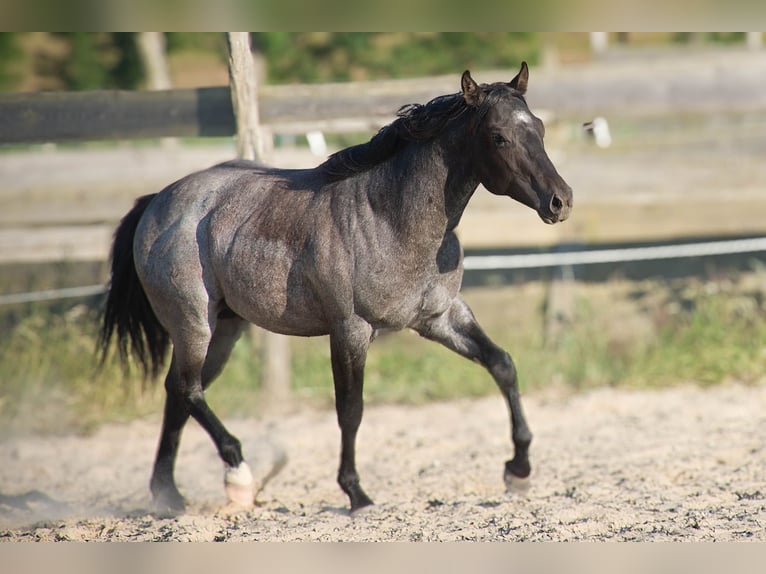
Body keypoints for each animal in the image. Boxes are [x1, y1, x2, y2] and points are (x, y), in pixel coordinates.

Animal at [99, 64, 572, 516]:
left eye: (539, 128)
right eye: (498, 137)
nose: (560, 201)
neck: (389, 218)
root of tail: (158, 201)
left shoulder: (441, 317)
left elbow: (502, 364)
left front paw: (519, 471)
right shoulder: (350, 330)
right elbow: (351, 410)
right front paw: (356, 494)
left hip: (225, 330)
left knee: (178, 393)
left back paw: (168, 496)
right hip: (194, 323)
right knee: (188, 390)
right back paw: (238, 475)